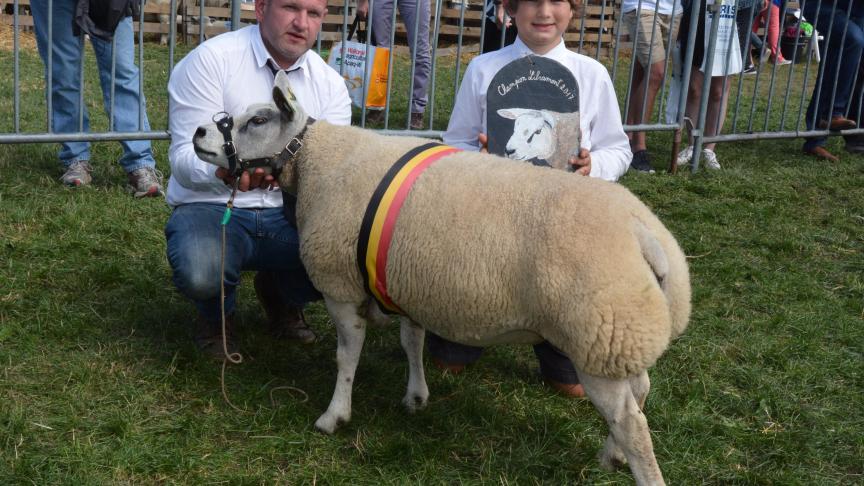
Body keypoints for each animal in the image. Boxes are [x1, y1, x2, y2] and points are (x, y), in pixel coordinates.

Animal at [192, 73, 692, 486]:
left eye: (258, 120)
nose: (199, 133)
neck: (318, 160)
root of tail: (644, 232)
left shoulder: (341, 288)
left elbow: (346, 357)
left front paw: (334, 416)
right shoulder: (400, 280)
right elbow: (411, 342)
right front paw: (416, 397)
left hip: (597, 334)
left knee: (632, 422)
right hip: (623, 332)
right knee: (639, 393)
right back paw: (612, 456)